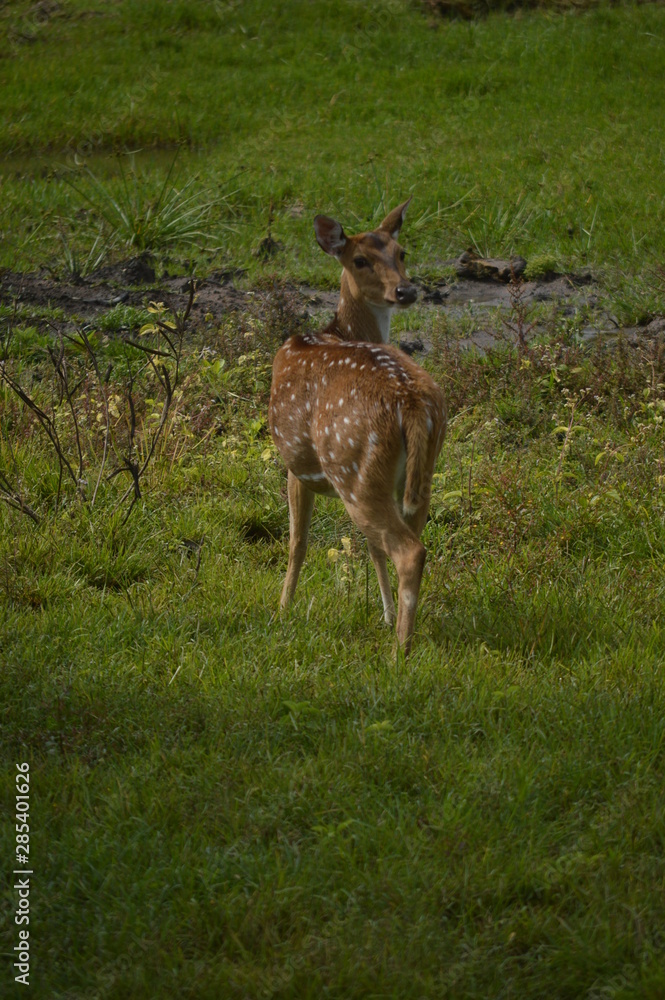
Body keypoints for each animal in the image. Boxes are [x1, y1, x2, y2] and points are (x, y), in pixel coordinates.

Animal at [268, 199, 447, 656]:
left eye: (402, 252)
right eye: (360, 259)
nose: (406, 291)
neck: (333, 331)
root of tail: (410, 401)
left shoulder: (296, 464)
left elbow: (297, 541)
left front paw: (283, 608)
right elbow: (370, 549)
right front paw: (383, 613)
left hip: (351, 469)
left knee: (408, 551)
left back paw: (400, 650)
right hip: (417, 475)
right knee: (402, 541)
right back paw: (402, 629)